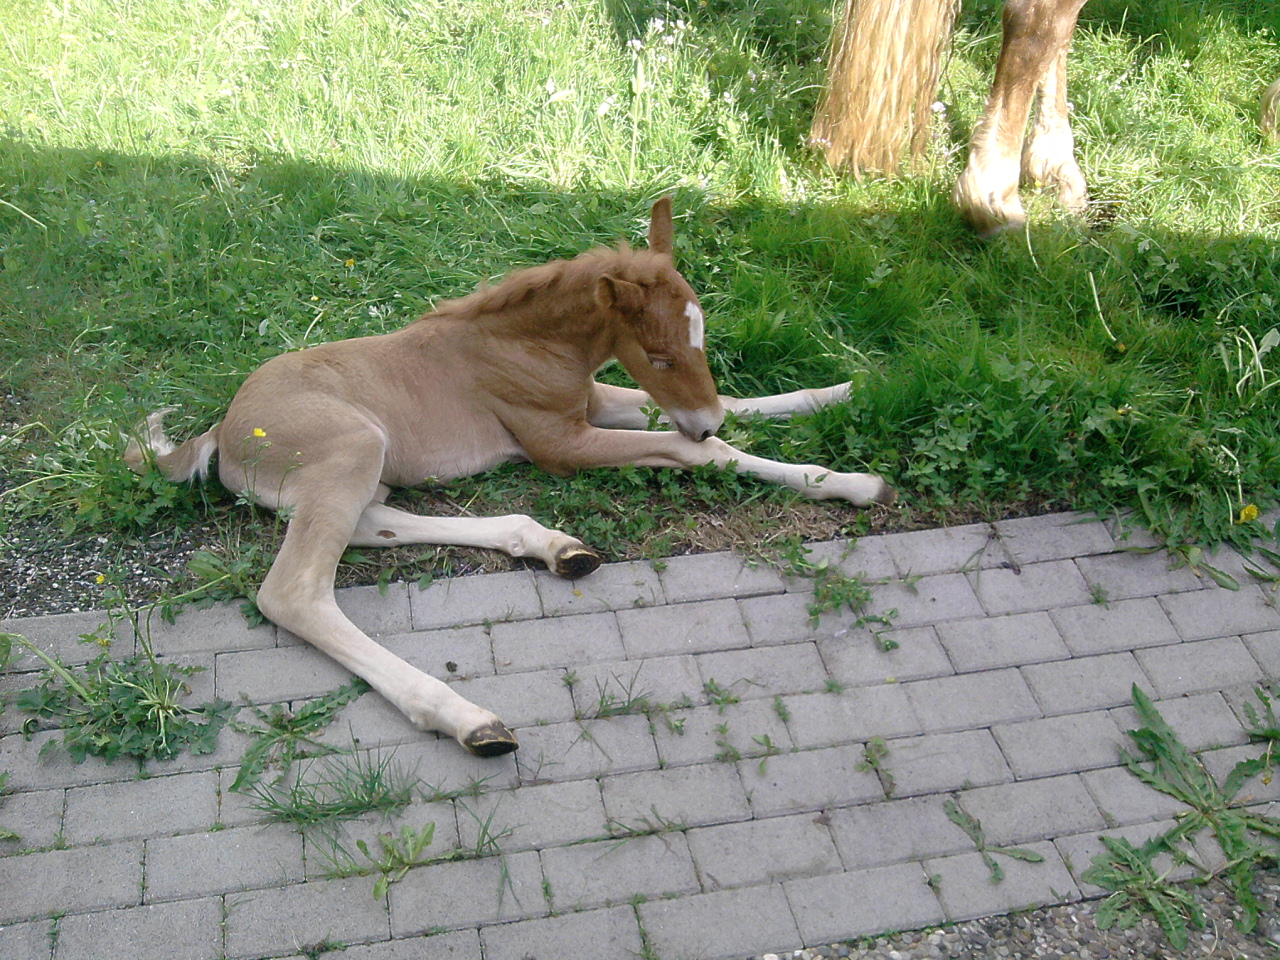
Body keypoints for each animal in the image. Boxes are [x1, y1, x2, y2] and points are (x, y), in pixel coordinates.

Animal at [127, 199, 890, 757]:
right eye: (659, 355)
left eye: (700, 341)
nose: (698, 419)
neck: (526, 343)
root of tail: (221, 432)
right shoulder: (560, 442)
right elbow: (698, 454)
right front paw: (850, 481)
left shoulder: (591, 402)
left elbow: (739, 406)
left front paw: (845, 390)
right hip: (351, 449)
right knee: (293, 592)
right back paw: (467, 718)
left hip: (355, 471)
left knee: (373, 523)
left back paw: (556, 547)